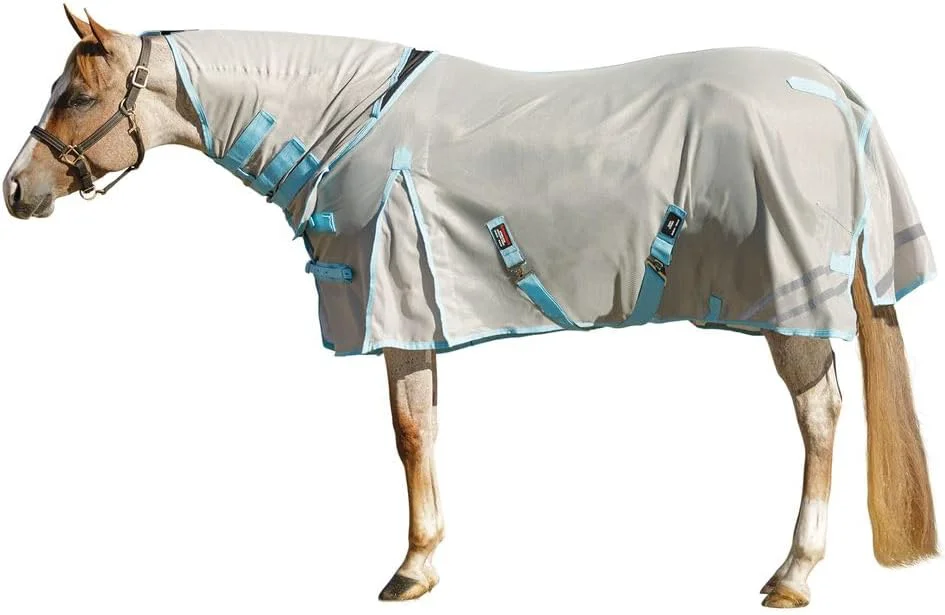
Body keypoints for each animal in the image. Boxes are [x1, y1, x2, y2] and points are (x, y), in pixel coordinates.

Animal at [3, 8, 937, 608]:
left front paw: (409, 571)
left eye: (75, 97)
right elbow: (425, 426)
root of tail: (830, 87)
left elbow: (407, 434)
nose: (17, 188)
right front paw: (425, 559)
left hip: (790, 305)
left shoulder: (393, 310)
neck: (348, 119)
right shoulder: (416, 320)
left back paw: (792, 575)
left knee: (820, 417)